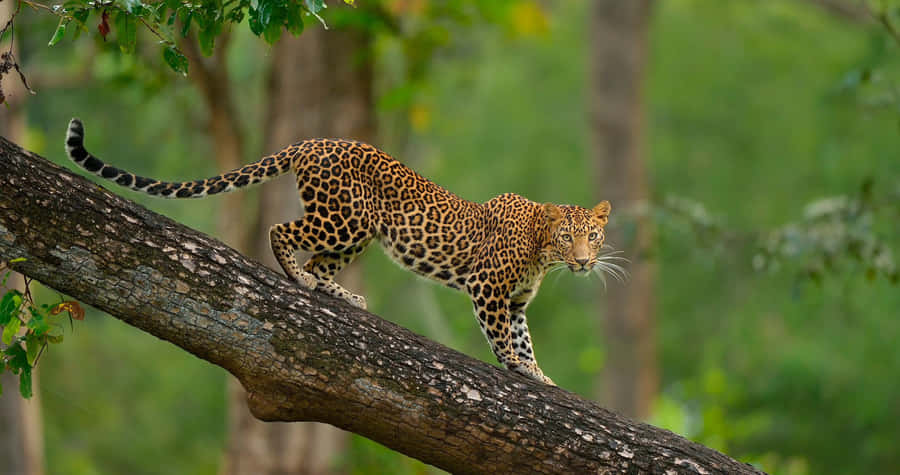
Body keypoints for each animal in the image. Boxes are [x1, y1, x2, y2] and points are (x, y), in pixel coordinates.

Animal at [64, 118, 616, 385]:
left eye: (593, 236)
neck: (542, 252)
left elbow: (524, 337)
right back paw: (298, 278)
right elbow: (503, 339)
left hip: (358, 232)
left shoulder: (516, 301)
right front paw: (519, 369)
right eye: (568, 237)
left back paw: (343, 296)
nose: (584, 261)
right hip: (342, 218)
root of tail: (312, 142)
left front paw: (539, 374)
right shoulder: (489, 289)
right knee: (281, 231)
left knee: (317, 258)